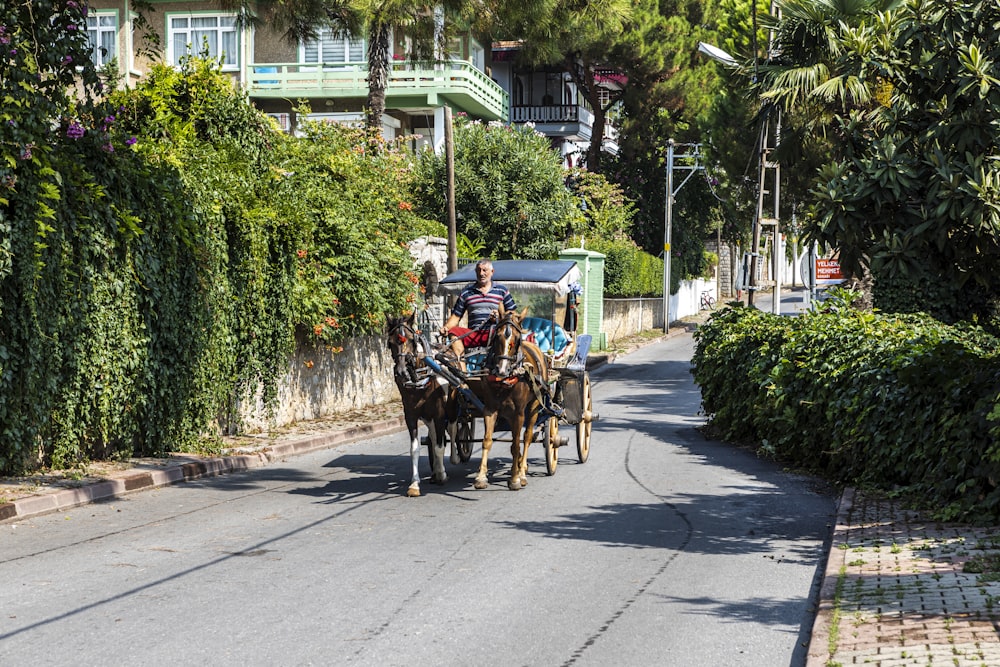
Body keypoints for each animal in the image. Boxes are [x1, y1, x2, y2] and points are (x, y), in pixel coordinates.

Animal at [386, 314, 458, 496]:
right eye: (390, 343)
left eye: (412, 340)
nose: (401, 372)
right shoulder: (411, 416)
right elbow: (416, 448)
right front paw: (414, 484)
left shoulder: (440, 414)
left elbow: (440, 446)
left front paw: (442, 474)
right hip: (428, 417)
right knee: (433, 435)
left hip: (452, 409)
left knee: (453, 430)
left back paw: (453, 459)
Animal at [466, 308, 548, 490]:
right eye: (497, 336)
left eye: (517, 339)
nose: (501, 370)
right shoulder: (490, 409)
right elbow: (487, 440)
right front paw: (481, 477)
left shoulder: (519, 413)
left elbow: (517, 444)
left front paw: (515, 478)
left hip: (534, 405)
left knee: (527, 437)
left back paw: (522, 472)